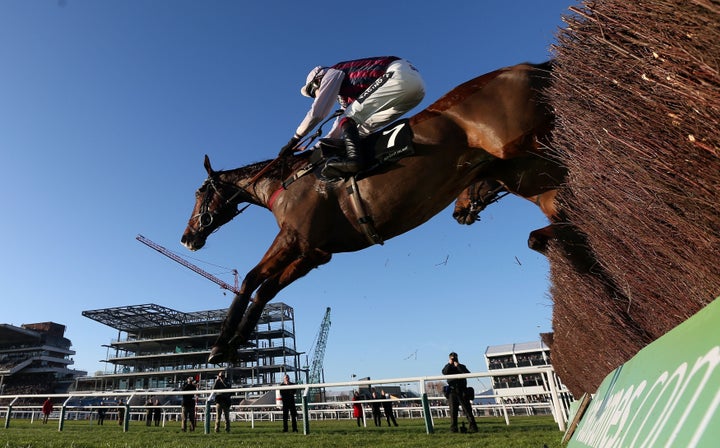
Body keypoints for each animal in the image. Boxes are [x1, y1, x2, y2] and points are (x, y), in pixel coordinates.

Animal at [179, 61, 556, 362]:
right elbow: (267, 289)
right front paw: (236, 341)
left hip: (527, 146)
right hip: (521, 168)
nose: (187, 237)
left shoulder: (293, 238)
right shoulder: (314, 252)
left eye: (200, 194)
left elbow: (251, 279)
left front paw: (220, 344)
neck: (285, 181)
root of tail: (530, 65)